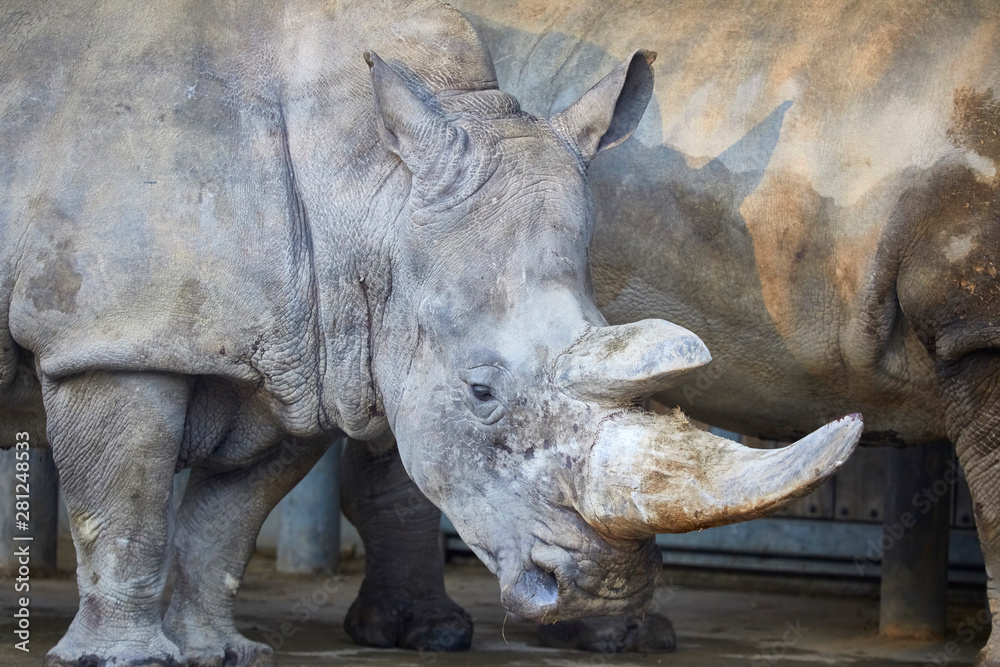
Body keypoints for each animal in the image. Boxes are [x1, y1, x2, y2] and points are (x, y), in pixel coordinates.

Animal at [0, 0, 864, 664]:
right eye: (480, 391)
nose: (605, 590)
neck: (364, 187)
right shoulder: (109, 337)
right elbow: (127, 504)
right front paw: (128, 660)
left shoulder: (307, 354)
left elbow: (228, 518)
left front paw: (220, 651)